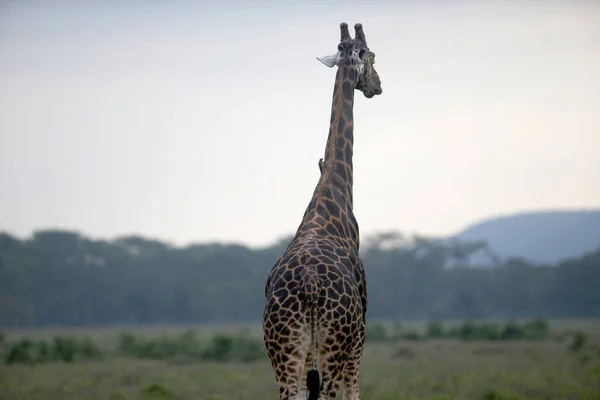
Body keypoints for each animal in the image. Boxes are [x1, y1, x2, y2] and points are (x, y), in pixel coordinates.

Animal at [264, 22, 384, 400]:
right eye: (371, 55)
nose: (377, 86)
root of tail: (311, 285)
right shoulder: (361, 329)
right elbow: (355, 390)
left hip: (284, 350)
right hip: (334, 344)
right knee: (335, 390)